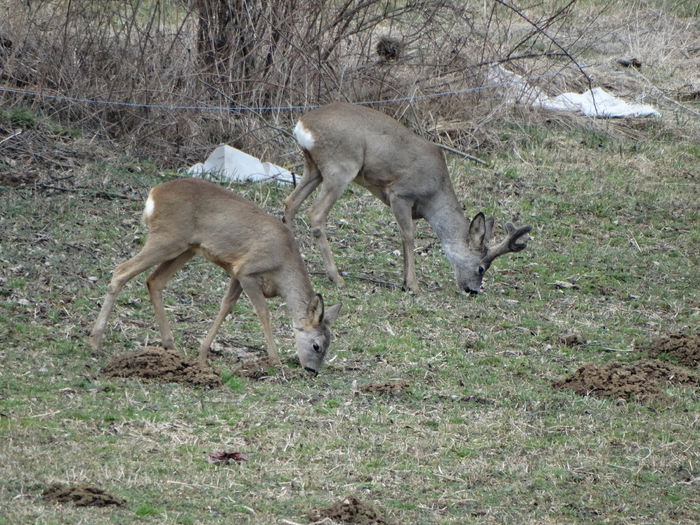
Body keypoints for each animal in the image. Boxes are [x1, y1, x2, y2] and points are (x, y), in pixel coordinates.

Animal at [90, 178, 342, 374]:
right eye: (317, 346)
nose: (312, 371)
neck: (283, 265)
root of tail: (154, 193)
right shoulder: (248, 271)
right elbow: (263, 313)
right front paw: (275, 360)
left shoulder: (236, 273)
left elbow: (225, 306)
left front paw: (202, 355)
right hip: (167, 238)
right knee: (121, 271)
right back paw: (95, 340)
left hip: (186, 248)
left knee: (154, 281)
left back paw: (170, 346)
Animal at [284, 100, 532, 292]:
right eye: (481, 267)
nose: (473, 290)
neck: (434, 195)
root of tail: (303, 124)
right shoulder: (400, 193)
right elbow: (408, 235)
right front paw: (412, 284)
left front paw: (405, 281)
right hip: (341, 166)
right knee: (315, 213)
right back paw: (336, 277)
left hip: (314, 167)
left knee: (290, 203)